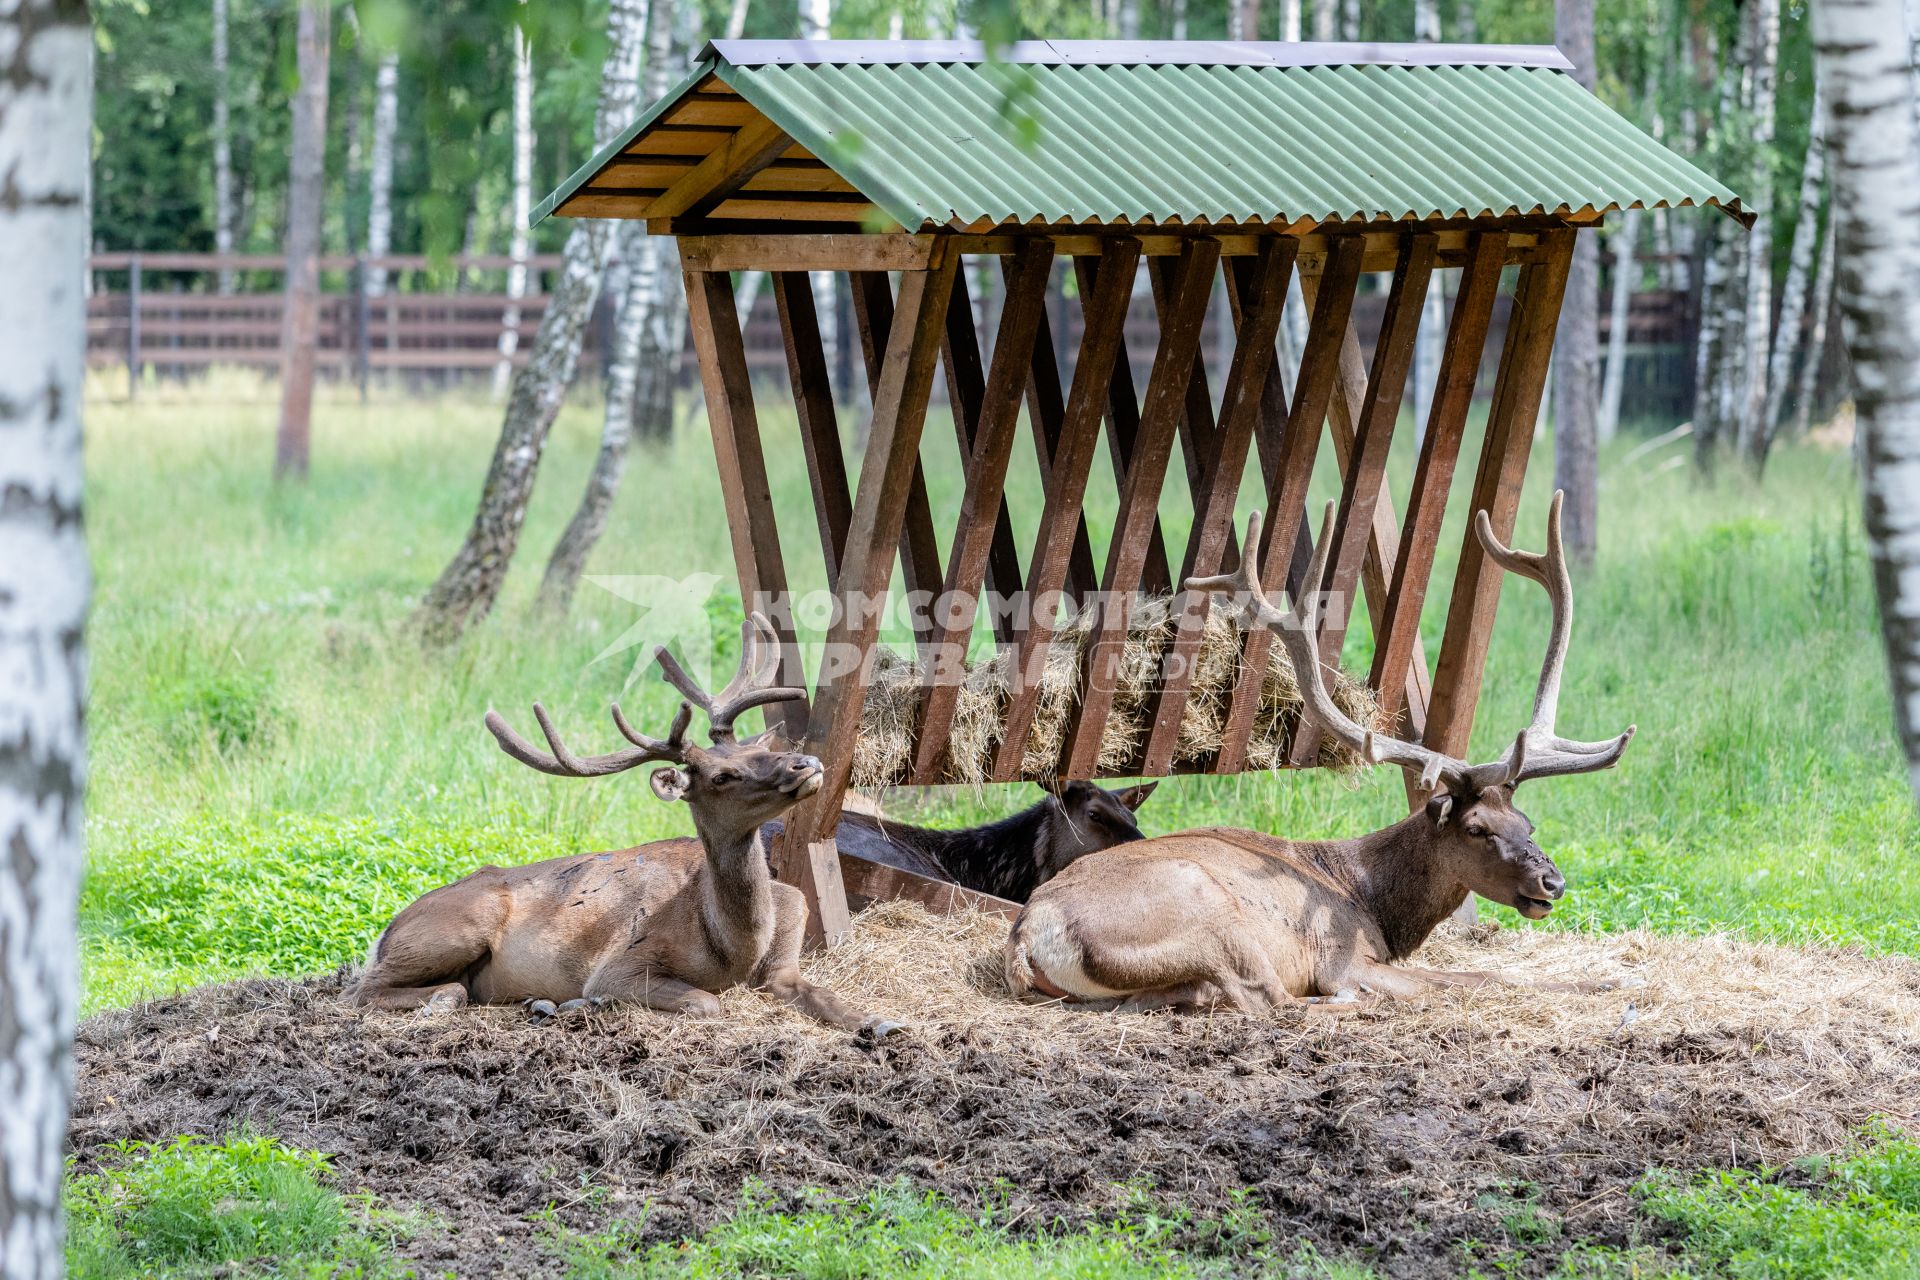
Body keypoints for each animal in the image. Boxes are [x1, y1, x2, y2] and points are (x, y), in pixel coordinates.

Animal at [349, 614, 902, 1043]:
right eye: (722, 775)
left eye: (754, 749)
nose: (806, 763)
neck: (735, 951)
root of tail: (386, 931)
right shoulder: (620, 964)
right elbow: (706, 1002)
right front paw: (590, 1003)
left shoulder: (788, 953)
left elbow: (824, 994)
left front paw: (881, 1020)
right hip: (459, 925)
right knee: (375, 989)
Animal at [1006, 495, 1635, 1013]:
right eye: (1476, 828)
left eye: (1527, 821)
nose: (1552, 882)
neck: (1372, 902)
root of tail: (1028, 936)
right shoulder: (1344, 956)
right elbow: (1478, 978)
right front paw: (1611, 982)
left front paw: (1611, 979)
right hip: (1213, 915)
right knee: (1266, 999)